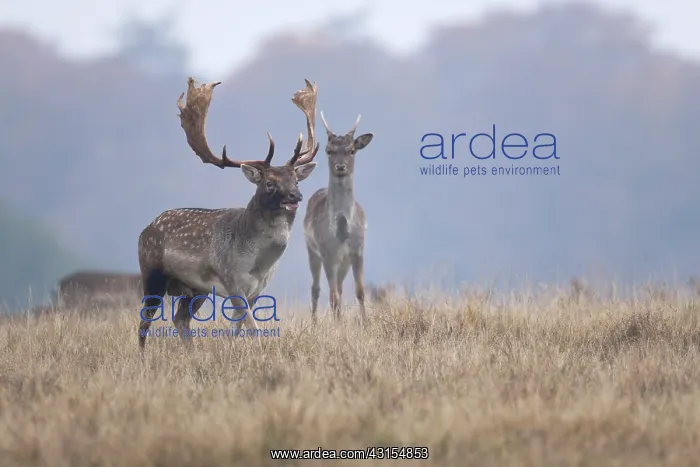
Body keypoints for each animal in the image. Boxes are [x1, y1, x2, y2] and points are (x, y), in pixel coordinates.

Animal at [137, 77, 319, 349]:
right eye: (269, 183)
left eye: (296, 180)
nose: (295, 196)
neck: (258, 263)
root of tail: (144, 230)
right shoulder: (230, 279)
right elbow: (252, 328)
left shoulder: (257, 290)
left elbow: (238, 327)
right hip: (151, 273)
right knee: (144, 321)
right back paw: (142, 356)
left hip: (195, 288)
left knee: (180, 319)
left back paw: (192, 353)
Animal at [302, 111, 374, 323]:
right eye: (329, 150)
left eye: (352, 150)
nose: (340, 166)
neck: (342, 229)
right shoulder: (328, 253)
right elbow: (332, 297)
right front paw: (337, 324)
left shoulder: (358, 250)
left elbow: (360, 291)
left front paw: (365, 322)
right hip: (312, 251)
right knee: (316, 288)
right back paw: (315, 323)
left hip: (344, 262)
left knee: (340, 289)